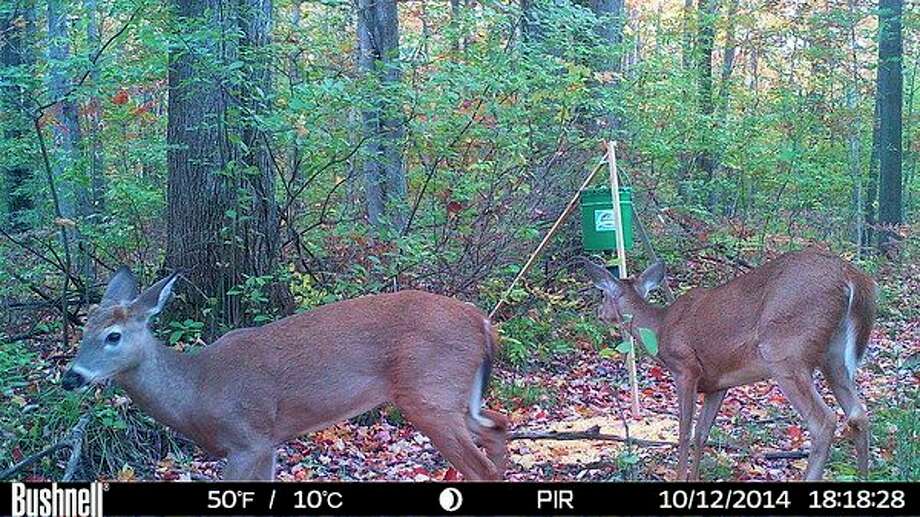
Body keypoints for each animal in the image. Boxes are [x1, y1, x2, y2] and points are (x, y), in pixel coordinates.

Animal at [61, 267, 508, 480]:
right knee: (498, 426)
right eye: (81, 331)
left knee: (481, 468)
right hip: (455, 396)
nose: (71, 377)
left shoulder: (248, 438)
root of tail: (482, 322)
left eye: (113, 336)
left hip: (429, 395)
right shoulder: (269, 442)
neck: (197, 389)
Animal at [583, 248, 877, 481]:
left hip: (785, 351)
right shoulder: (718, 383)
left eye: (603, 295)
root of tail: (852, 276)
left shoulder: (685, 368)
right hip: (834, 357)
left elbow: (684, 431)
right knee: (858, 415)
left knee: (824, 420)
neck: (660, 327)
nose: (599, 313)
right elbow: (702, 433)